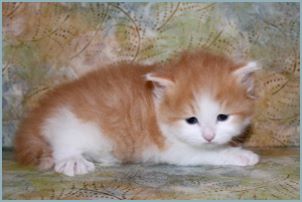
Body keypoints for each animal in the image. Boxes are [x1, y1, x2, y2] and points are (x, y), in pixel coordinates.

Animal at [14, 51, 260, 177]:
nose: (209, 136)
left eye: (222, 117)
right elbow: (206, 154)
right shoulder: (173, 148)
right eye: (191, 120)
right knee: (62, 138)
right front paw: (238, 154)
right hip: (75, 121)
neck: (157, 109)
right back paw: (71, 159)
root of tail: (43, 110)